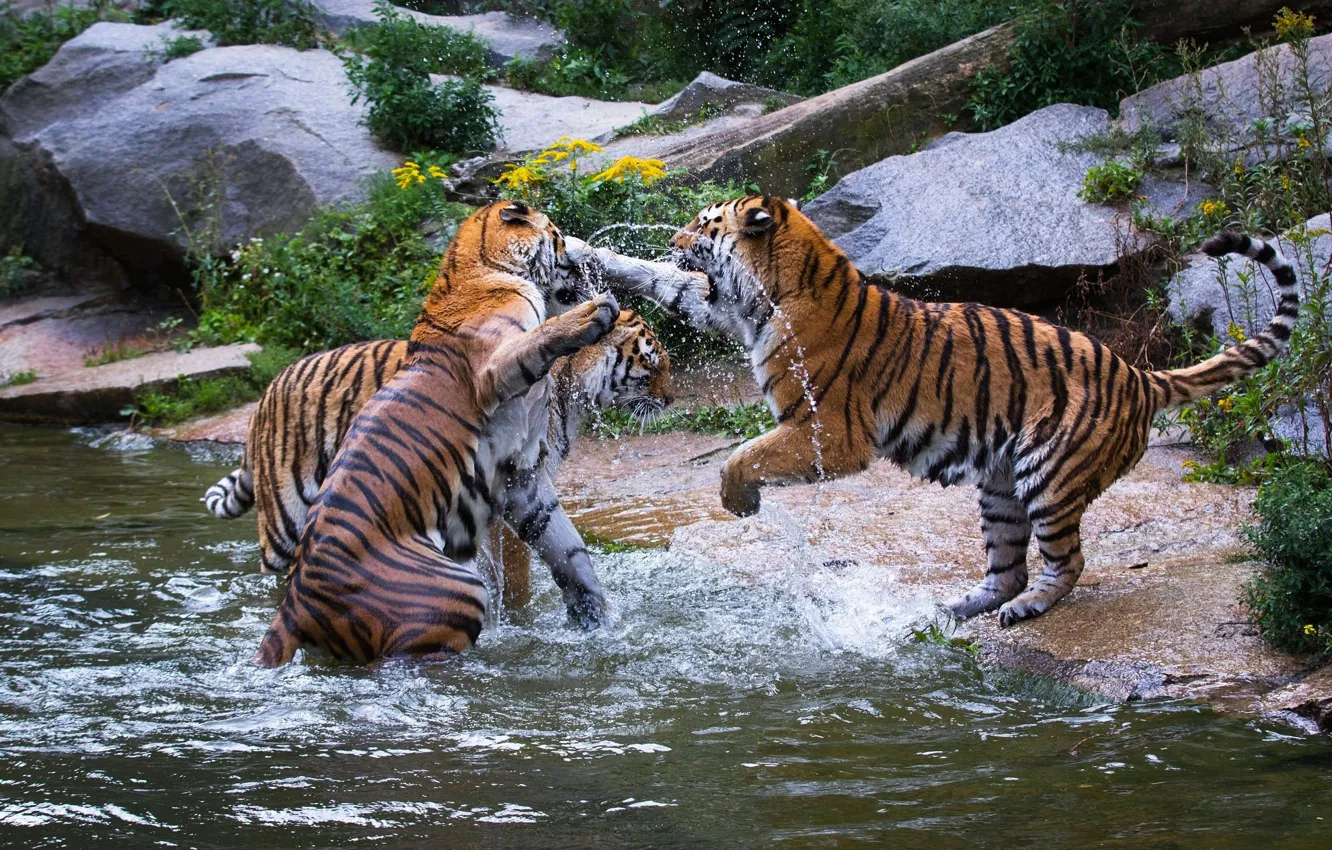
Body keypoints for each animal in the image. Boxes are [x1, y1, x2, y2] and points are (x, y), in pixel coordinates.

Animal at [253, 200, 621, 666]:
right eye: (557, 235)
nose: (585, 257)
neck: (479, 271)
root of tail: (294, 603)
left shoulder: (522, 477)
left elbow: (568, 550)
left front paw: (591, 612)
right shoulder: (492, 368)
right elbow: (539, 337)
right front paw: (595, 312)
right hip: (454, 589)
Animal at [577, 195, 1299, 627]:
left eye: (704, 226)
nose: (674, 237)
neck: (771, 294)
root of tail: (1140, 377)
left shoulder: (828, 430)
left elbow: (742, 453)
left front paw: (740, 501)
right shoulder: (726, 314)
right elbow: (668, 287)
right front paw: (589, 257)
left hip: (1049, 474)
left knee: (1065, 562)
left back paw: (1029, 608)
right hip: (1000, 487)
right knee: (1007, 565)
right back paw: (958, 606)